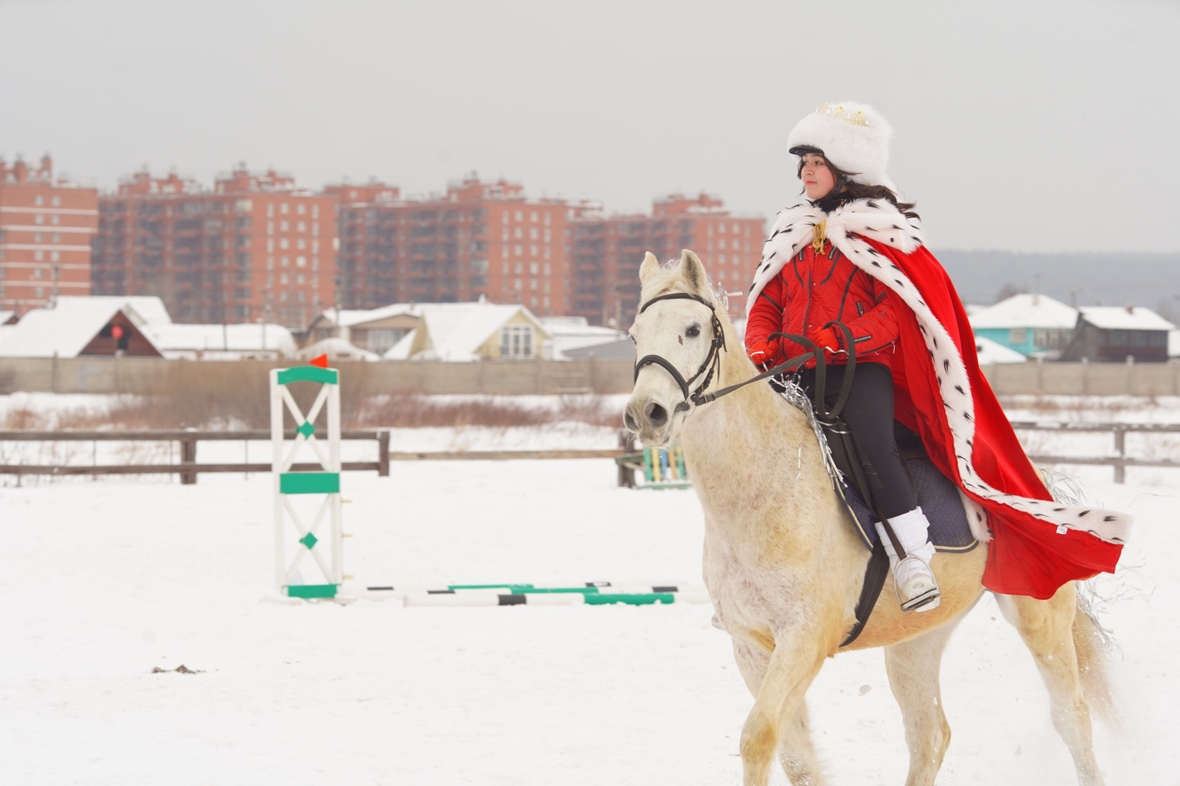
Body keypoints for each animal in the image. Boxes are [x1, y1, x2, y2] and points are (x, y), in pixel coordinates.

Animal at [627, 249, 1113, 783]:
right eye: (634, 334)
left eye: (692, 329)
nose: (646, 413)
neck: (765, 486)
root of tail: (1036, 478)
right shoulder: (753, 647)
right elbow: (796, 758)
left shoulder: (804, 640)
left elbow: (758, 739)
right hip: (917, 639)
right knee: (930, 735)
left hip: (1039, 618)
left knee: (1073, 719)